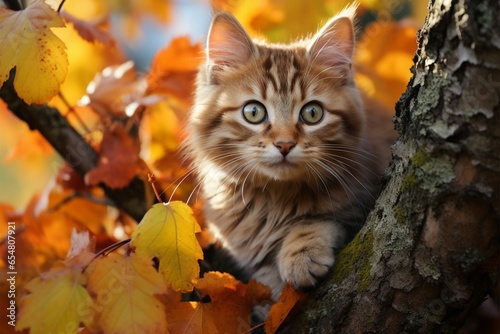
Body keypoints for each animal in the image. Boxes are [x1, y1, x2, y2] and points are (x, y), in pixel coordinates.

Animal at [186, 4, 396, 298]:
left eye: (312, 113)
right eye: (253, 112)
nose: (284, 144)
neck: (274, 201)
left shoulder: (360, 204)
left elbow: (318, 220)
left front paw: (301, 253)